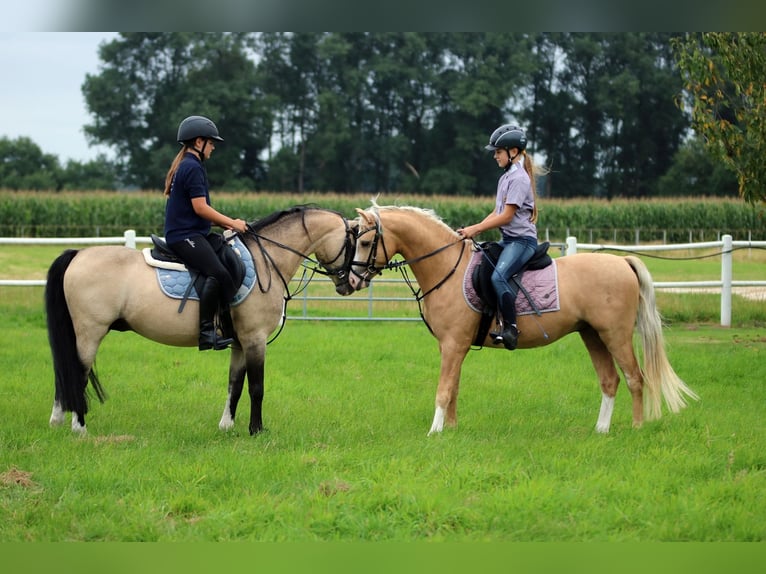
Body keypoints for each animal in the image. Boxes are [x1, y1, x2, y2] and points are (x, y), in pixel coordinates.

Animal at [45, 205, 356, 435]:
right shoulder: (255, 339)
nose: (352, 282)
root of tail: (78, 254)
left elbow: (235, 383)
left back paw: (58, 421)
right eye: (355, 243)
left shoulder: (240, 342)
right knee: (78, 373)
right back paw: (79, 427)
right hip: (90, 332)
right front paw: (256, 430)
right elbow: (256, 387)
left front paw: (227, 426)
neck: (265, 260)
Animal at [348, 203, 699, 435]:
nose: (350, 281)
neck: (447, 267)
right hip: (592, 335)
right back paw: (601, 430)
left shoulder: (453, 345)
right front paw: (452, 429)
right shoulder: (452, 346)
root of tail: (622, 262)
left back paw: (637, 428)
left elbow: (444, 389)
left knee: (635, 378)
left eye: (365, 242)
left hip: (615, 335)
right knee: (610, 380)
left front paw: (435, 433)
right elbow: (454, 388)